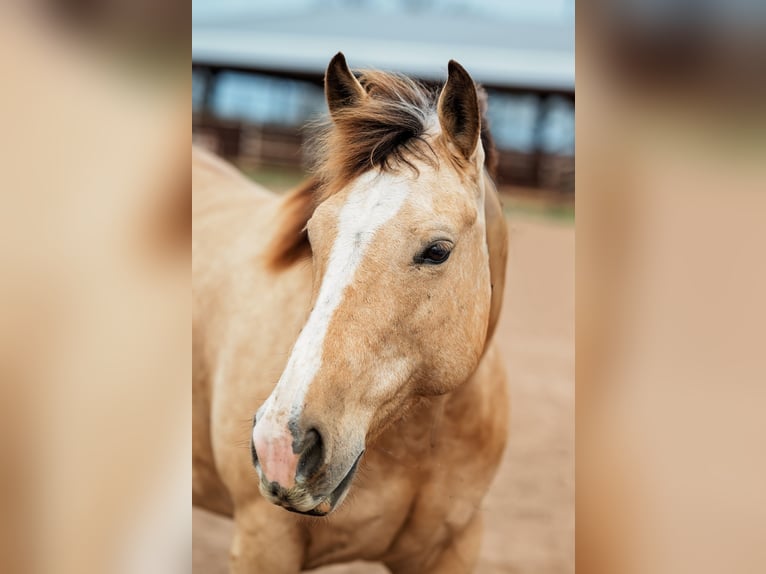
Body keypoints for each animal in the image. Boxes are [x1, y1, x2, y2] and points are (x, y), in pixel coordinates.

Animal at [193, 53, 509, 573]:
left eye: (438, 251)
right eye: (311, 234)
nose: (281, 447)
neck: (419, 440)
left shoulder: (456, 546)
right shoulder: (264, 542)